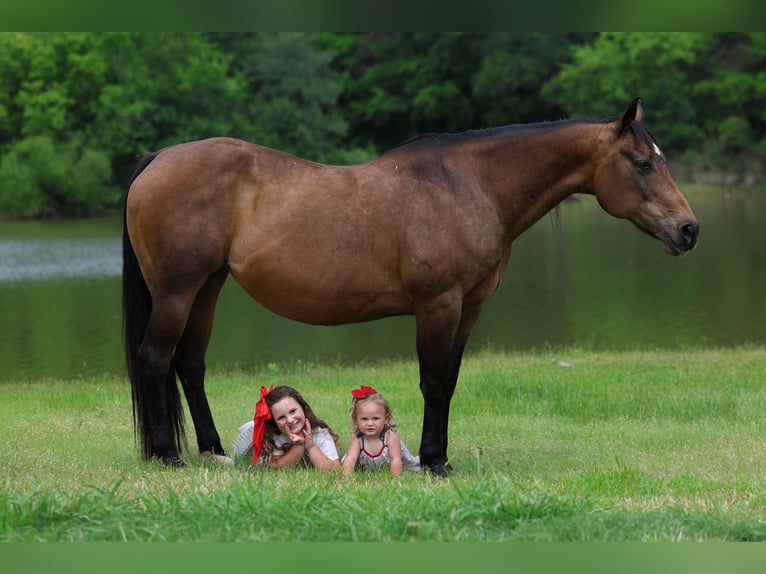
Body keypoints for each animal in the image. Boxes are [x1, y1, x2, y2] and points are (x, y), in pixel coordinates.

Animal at [122, 97, 698, 475]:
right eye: (642, 163)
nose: (689, 230)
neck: (470, 187)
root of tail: (160, 158)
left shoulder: (469, 308)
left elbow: (451, 380)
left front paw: (439, 456)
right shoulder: (438, 306)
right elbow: (434, 382)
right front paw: (437, 462)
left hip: (208, 287)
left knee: (189, 365)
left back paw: (212, 451)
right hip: (177, 291)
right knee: (155, 358)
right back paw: (167, 455)